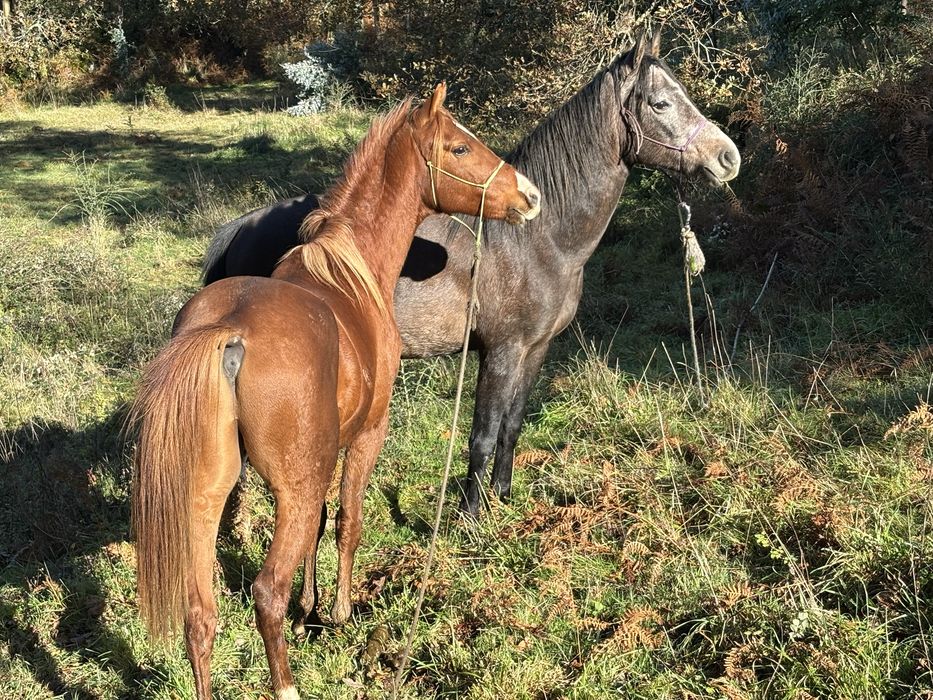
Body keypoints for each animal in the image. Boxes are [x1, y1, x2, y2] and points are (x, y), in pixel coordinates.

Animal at [129, 83, 541, 700]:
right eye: (460, 147)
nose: (529, 197)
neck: (349, 272)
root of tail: (227, 332)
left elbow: (322, 526)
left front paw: (311, 608)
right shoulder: (367, 434)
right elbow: (347, 518)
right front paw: (339, 611)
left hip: (205, 497)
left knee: (199, 615)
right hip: (287, 491)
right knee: (265, 593)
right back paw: (287, 681)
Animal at [201, 32, 741, 519]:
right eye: (660, 102)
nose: (728, 157)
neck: (540, 241)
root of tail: (240, 229)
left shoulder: (535, 349)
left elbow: (511, 426)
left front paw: (503, 496)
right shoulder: (499, 351)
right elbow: (481, 435)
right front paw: (470, 517)